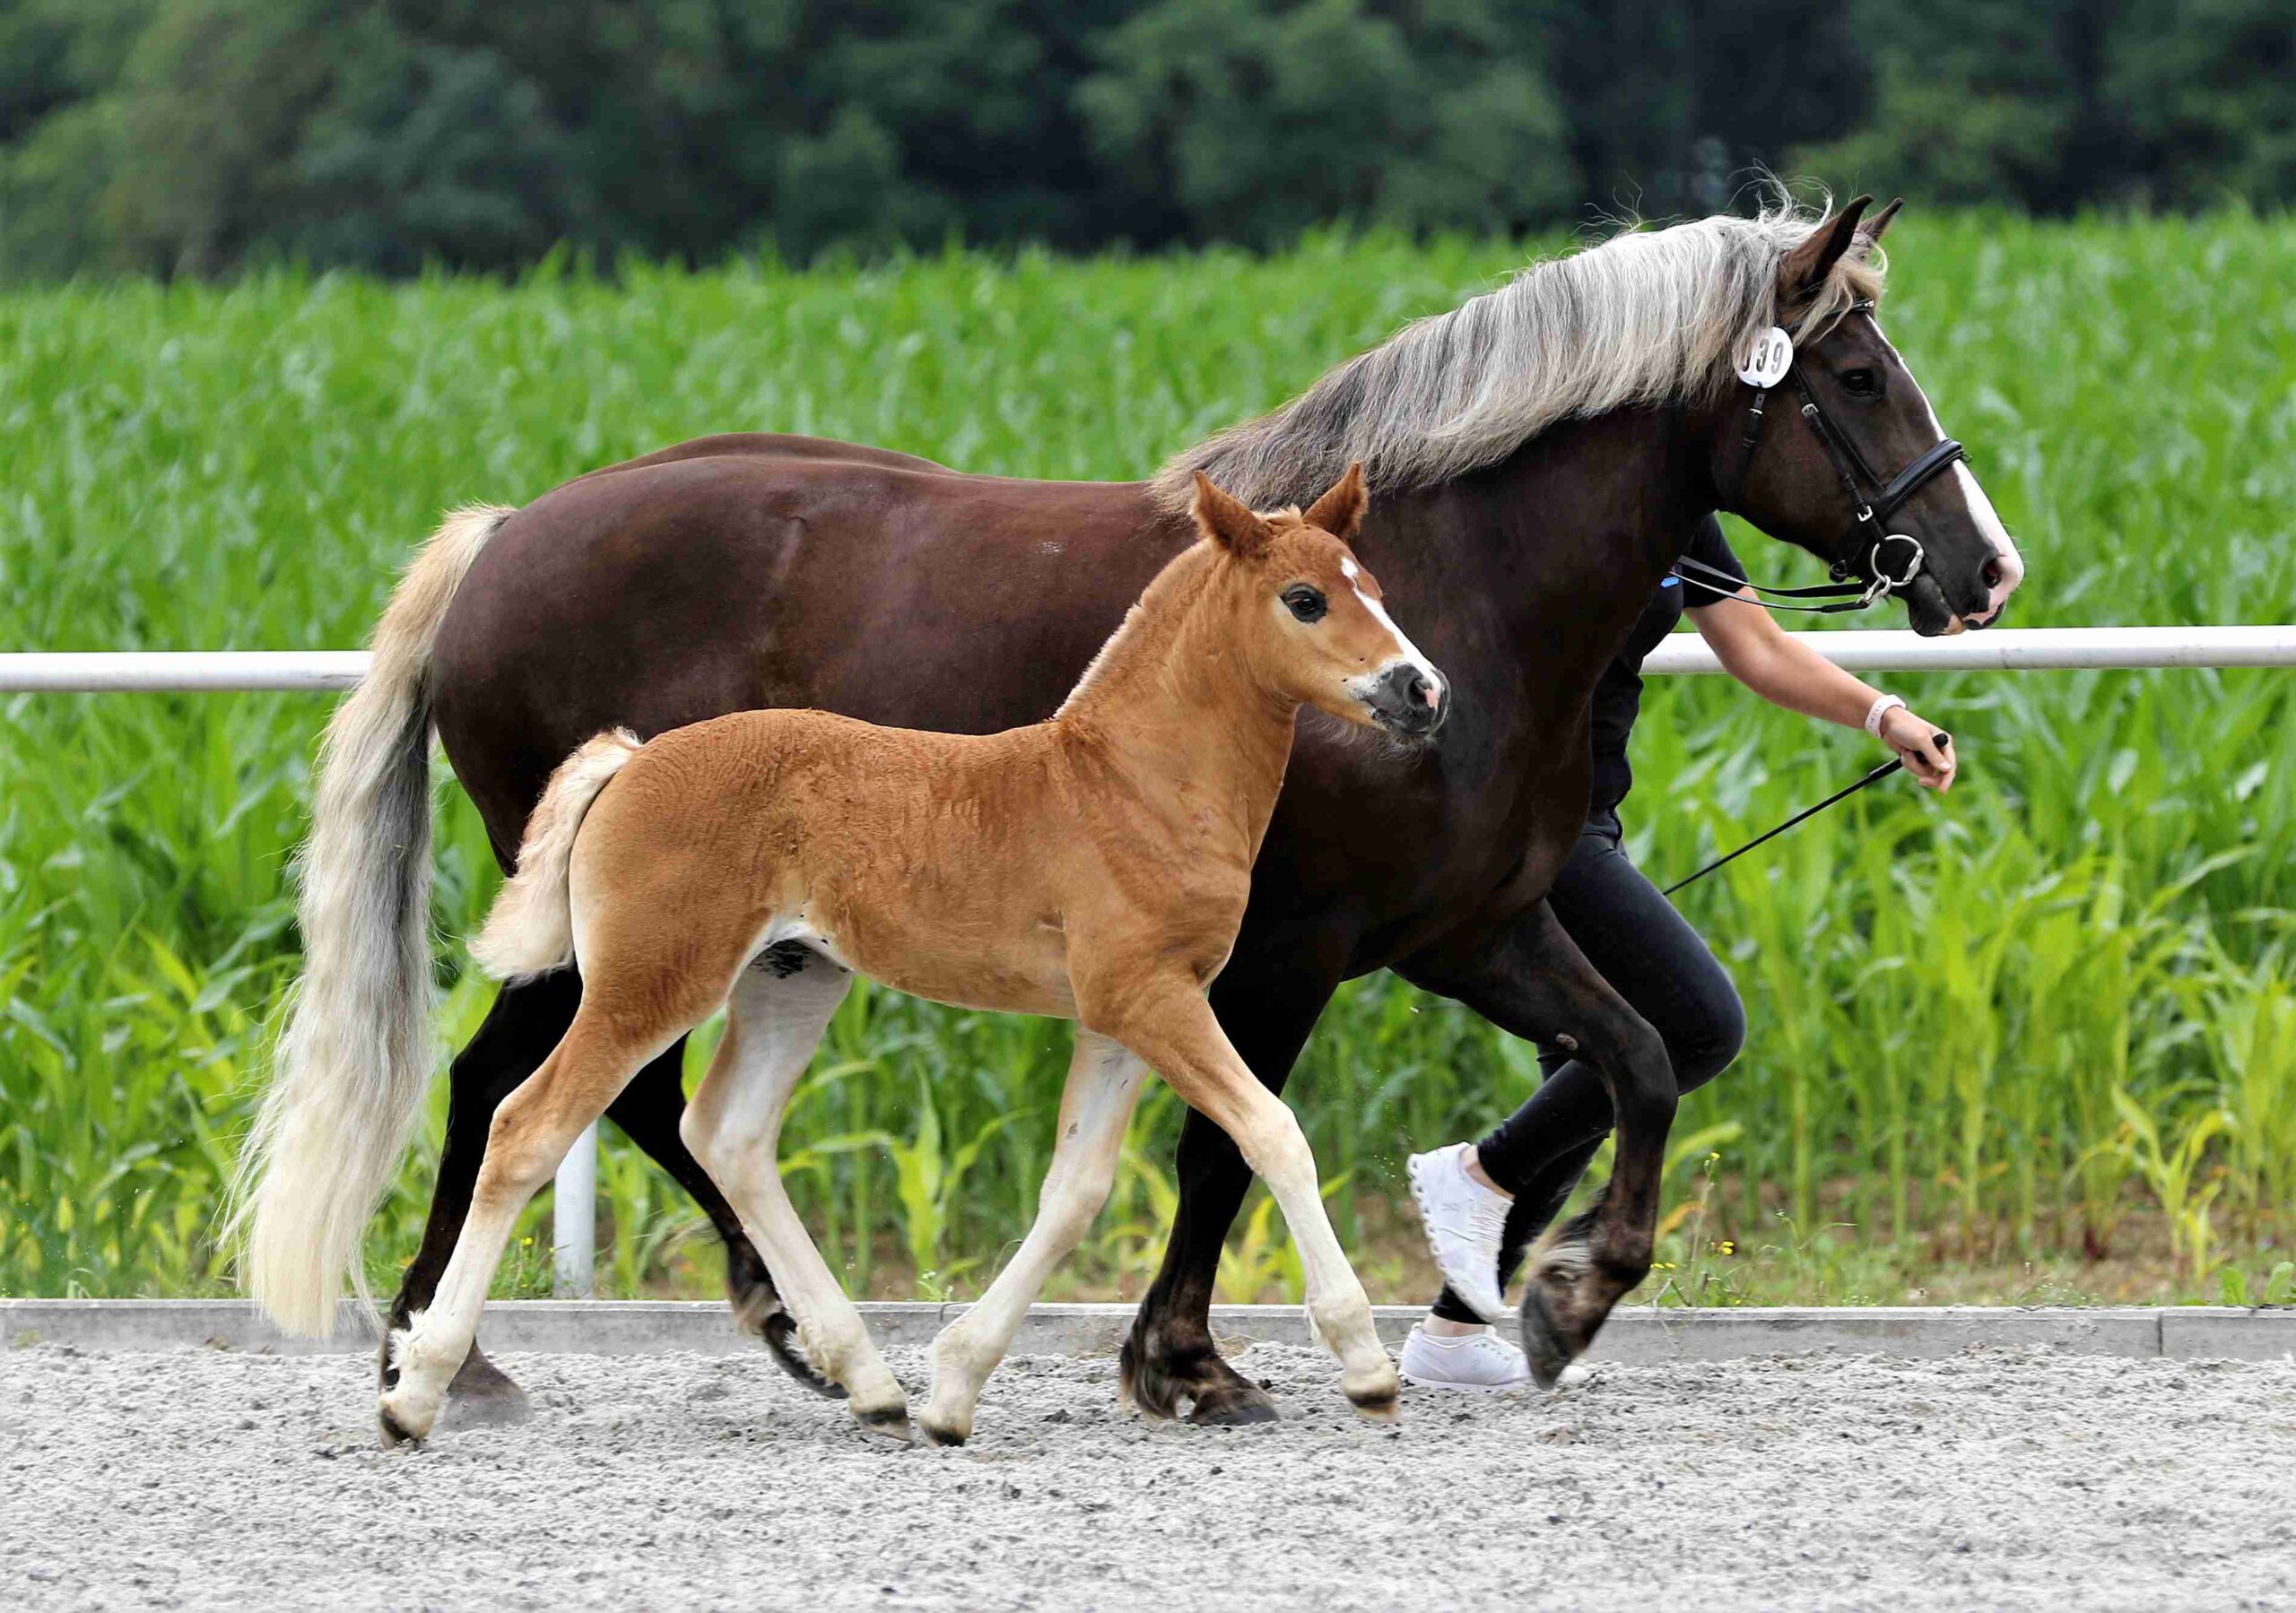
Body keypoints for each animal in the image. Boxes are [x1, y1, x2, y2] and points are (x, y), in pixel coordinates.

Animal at [376, 461, 1450, 1441]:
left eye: (1376, 586)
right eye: (1305, 598)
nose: (1423, 690)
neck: (1126, 782)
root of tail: (631, 759)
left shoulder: (1122, 1014)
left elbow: (1075, 1190)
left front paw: (954, 1387)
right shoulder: (1152, 998)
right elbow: (1271, 1133)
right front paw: (1363, 1364)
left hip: (790, 978)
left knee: (727, 1134)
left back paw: (869, 1381)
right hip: (647, 983)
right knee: (526, 1124)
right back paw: (419, 1387)